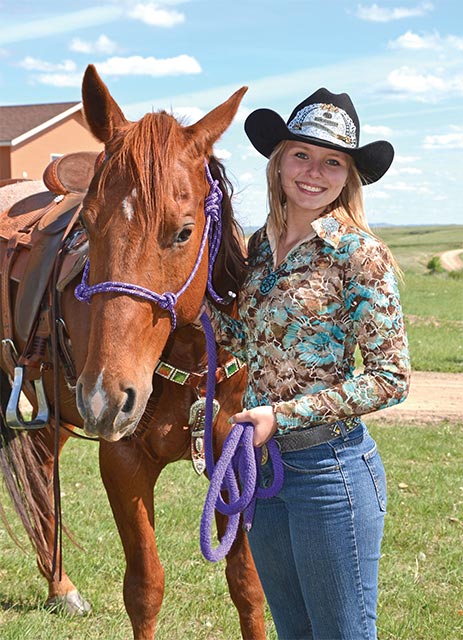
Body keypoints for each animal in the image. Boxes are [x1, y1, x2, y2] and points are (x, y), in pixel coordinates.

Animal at [0, 66, 264, 640]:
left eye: (183, 231)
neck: (191, 361)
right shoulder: (121, 460)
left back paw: (60, 587)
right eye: (87, 226)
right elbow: (144, 589)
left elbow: (248, 586)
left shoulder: (237, 454)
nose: (105, 398)